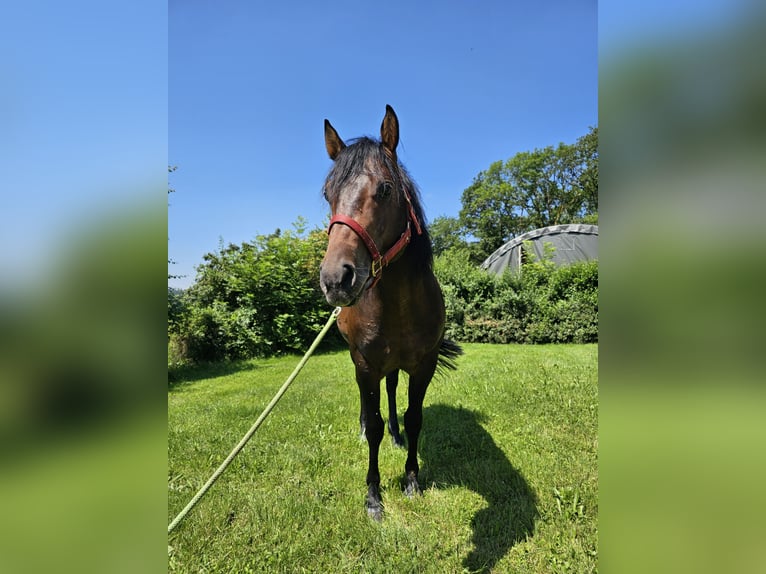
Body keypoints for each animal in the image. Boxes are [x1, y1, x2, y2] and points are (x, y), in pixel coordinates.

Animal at [320, 104, 462, 520]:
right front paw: (373, 496)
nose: (335, 279)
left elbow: (415, 418)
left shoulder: (423, 365)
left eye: (384, 189)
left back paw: (397, 435)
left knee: (393, 390)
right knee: (370, 407)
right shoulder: (365, 365)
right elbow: (375, 424)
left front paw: (412, 479)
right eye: (327, 194)